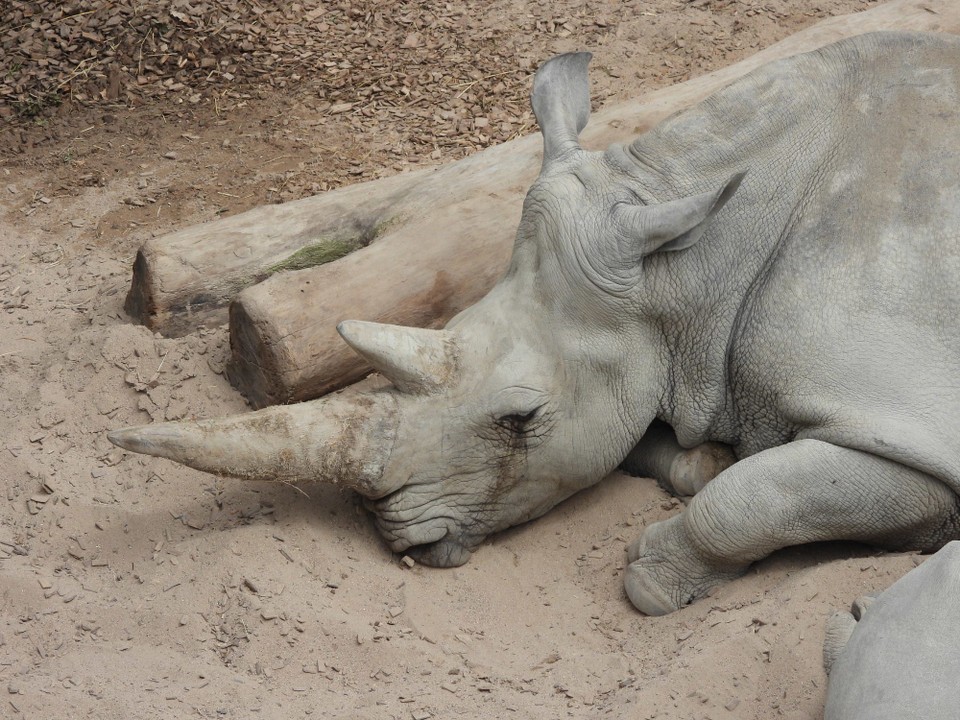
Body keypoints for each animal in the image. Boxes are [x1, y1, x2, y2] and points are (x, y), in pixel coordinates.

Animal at [109, 30, 960, 615]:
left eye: (521, 419)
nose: (398, 540)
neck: (689, 266)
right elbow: (695, 461)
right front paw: (708, 459)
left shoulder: (909, 415)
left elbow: (759, 496)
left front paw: (651, 580)